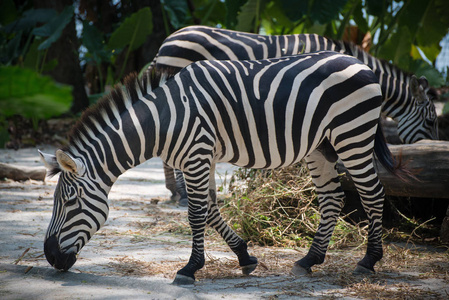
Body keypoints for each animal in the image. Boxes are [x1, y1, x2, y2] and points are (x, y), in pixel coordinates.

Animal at [39, 52, 410, 286]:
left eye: (69, 203)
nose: (50, 257)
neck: (164, 122)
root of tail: (361, 62)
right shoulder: (202, 158)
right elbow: (211, 210)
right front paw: (245, 257)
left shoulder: (197, 155)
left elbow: (196, 214)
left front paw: (189, 269)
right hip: (322, 145)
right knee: (332, 198)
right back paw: (309, 260)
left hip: (352, 134)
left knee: (372, 194)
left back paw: (368, 261)